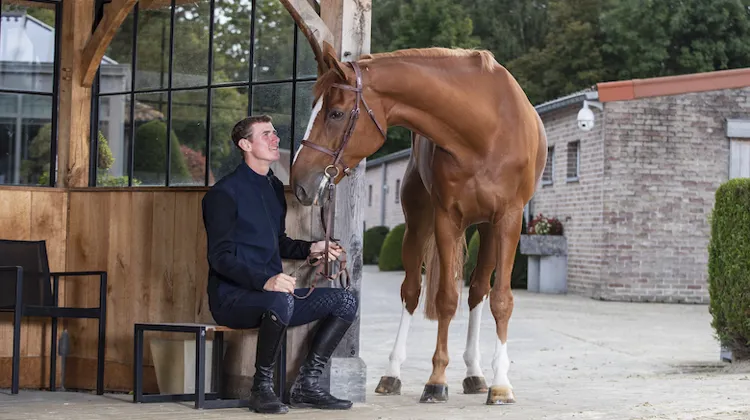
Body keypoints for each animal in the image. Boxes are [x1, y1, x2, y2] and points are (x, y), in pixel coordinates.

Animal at [279, 0, 547, 405]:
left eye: (336, 113)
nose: (299, 183)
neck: (485, 131)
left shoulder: (510, 220)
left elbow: (500, 299)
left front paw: (501, 384)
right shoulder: (446, 219)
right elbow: (445, 297)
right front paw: (436, 381)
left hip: (486, 229)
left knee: (479, 291)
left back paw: (475, 373)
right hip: (419, 224)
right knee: (411, 291)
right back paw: (392, 374)